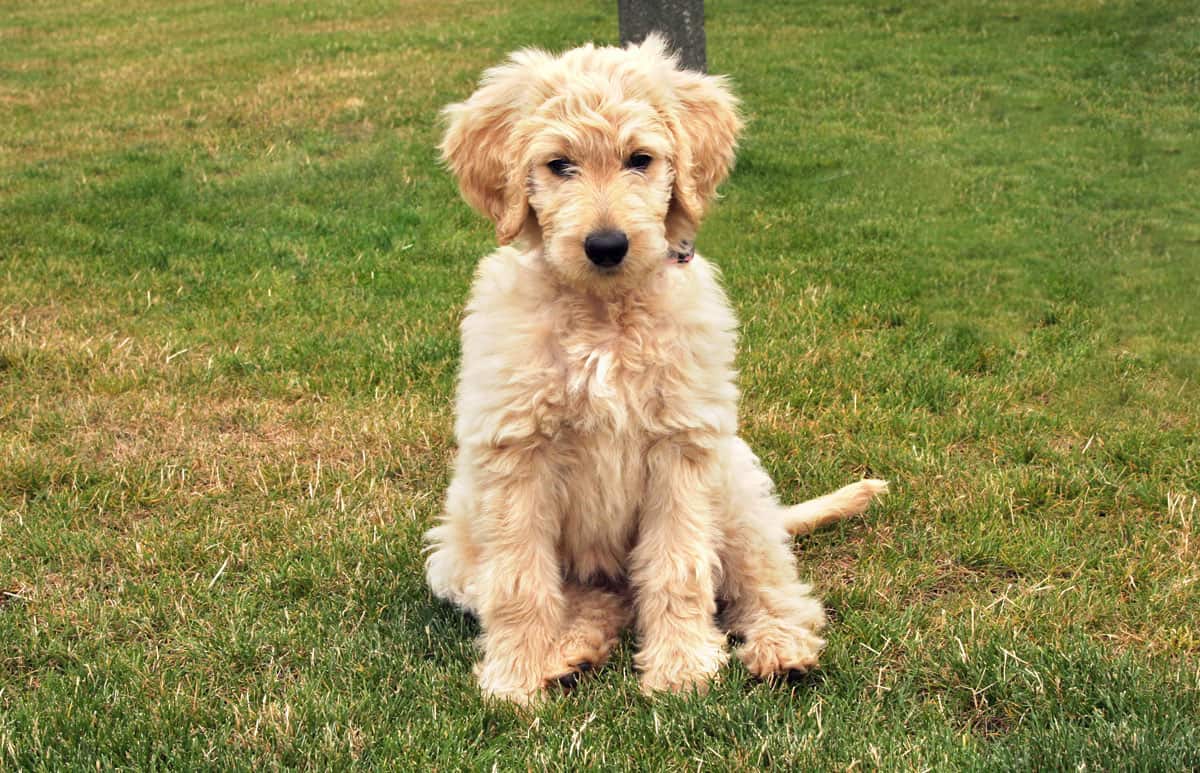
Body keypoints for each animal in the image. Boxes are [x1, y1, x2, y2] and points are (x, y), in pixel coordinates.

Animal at [427, 33, 888, 705]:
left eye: (639, 159)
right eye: (559, 165)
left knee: (774, 586)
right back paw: (573, 648)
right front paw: (516, 675)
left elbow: (678, 566)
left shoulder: (681, 446)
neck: (604, 314)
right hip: (457, 551)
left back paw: (781, 648)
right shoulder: (516, 454)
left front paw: (682, 668)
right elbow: (519, 579)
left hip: (737, 493)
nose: (606, 245)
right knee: (598, 599)